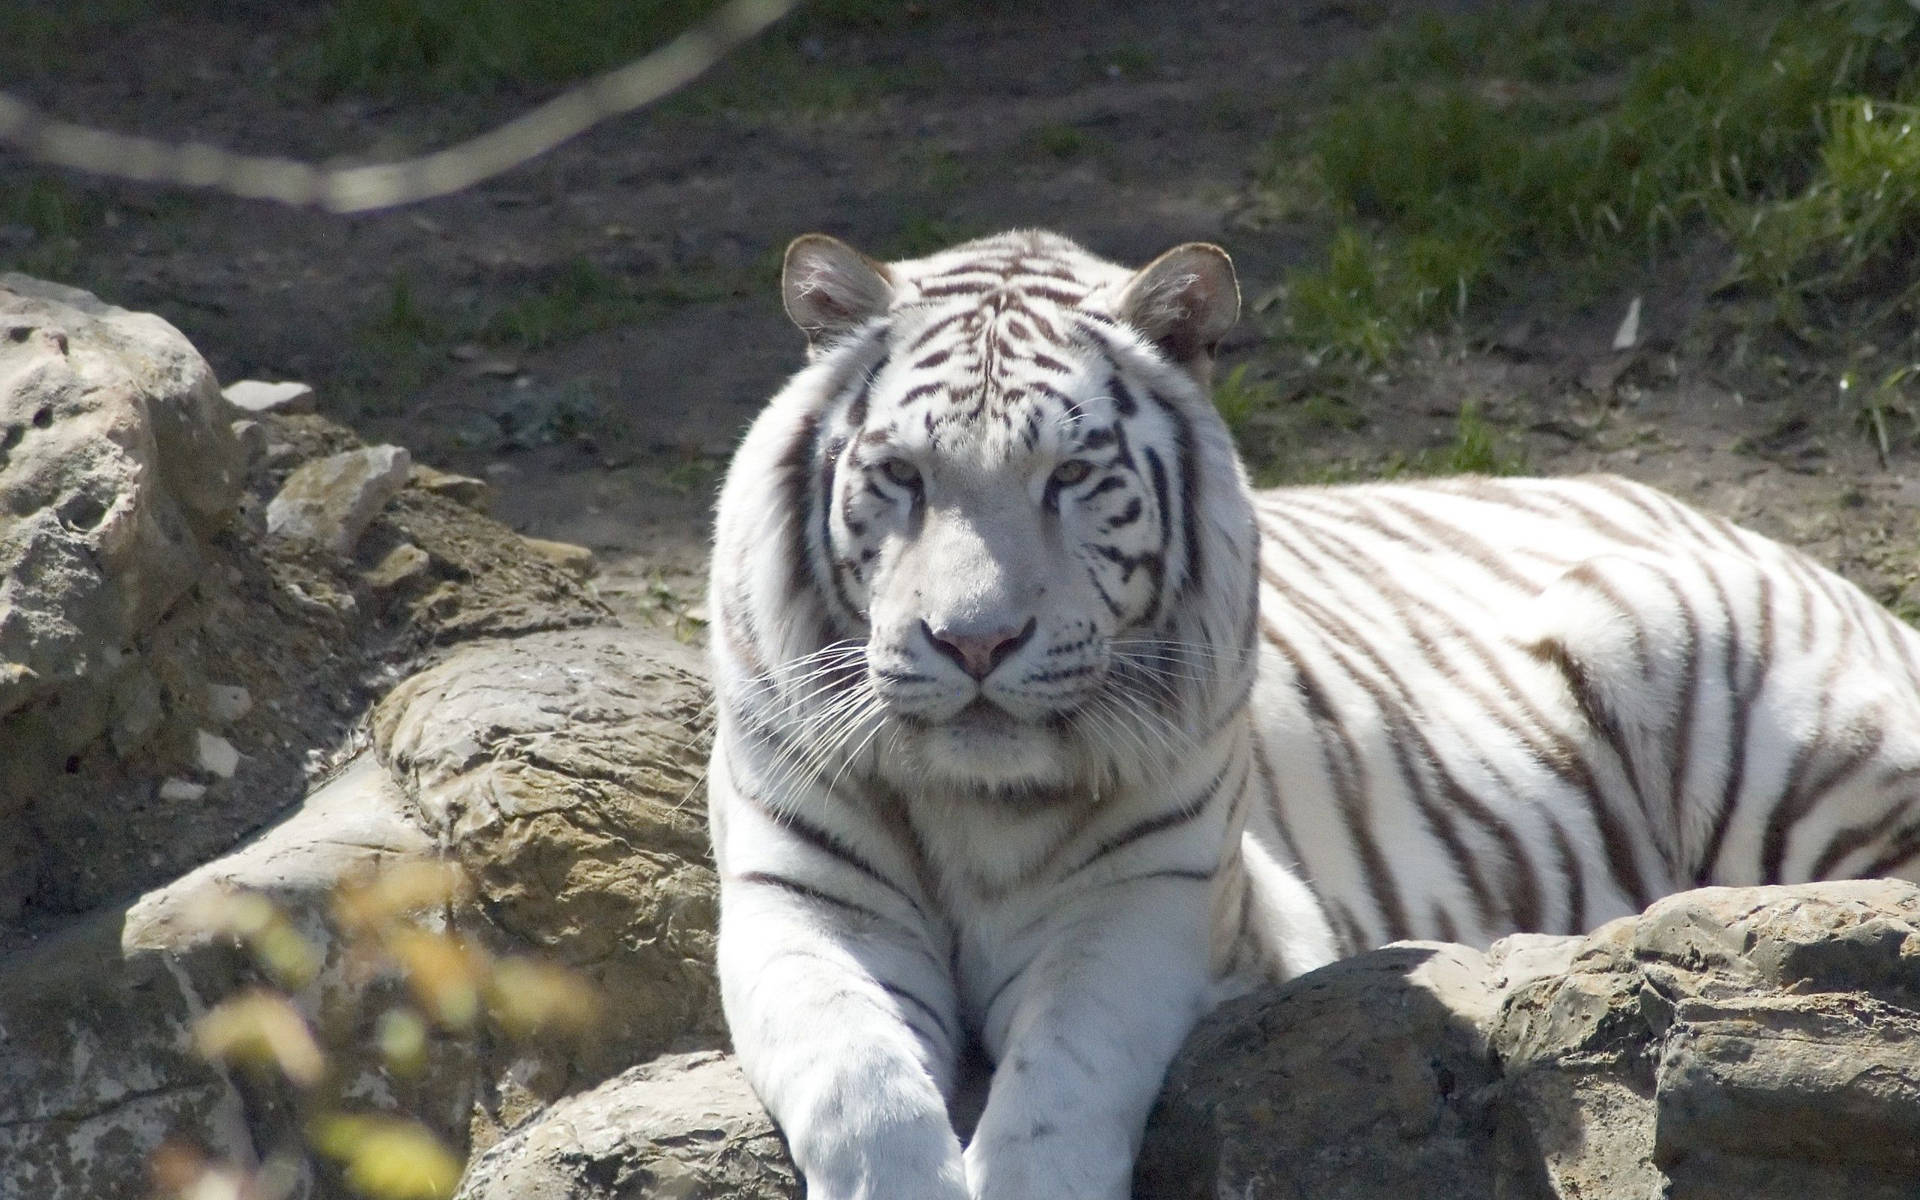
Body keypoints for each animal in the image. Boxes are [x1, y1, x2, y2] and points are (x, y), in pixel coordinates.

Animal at [702, 229, 1920, 1190]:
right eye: (903, 476)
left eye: (1070, 478)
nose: (975, 643)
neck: (976, 801)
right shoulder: (798, 905)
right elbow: (862, 1091)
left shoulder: (1153, 905)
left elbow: (1062, 1084)